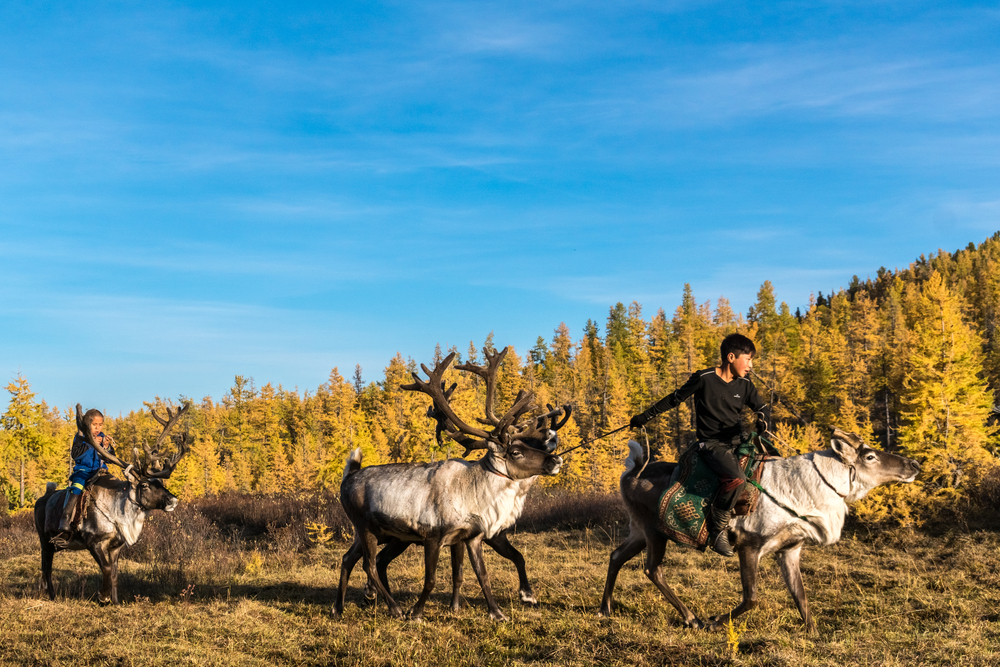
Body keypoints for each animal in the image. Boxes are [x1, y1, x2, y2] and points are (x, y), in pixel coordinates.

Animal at [34, 403, 190, 604]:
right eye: (145, 485)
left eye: (160, 483)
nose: (173, 500)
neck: (120, 513)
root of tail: (43, 497)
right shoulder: (93, 541)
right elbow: (106, 569)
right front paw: (103, 597)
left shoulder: (117, 545)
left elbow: (115, 572)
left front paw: (115, 601)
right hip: (44, 539)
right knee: (46, 567)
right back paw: (51, 596)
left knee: (45, 568)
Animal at [335, 347, 569, 621]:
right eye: (516, 452)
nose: (556, 459)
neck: (475, 493)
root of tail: (348, 477)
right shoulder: (433, 536)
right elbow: (431, 580)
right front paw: (416, 612)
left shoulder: (471, 537)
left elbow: (481, 575)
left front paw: (496, 613)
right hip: (366, 528)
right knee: (369, 565)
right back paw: (395, 608)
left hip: (380, 534)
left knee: (349, 559)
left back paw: (339, 607)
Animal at [598, 428, 920, 631]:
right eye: (870, 456)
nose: (914, 464)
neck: (808, 494)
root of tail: (630, 473)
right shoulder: (748, 544)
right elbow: (751, 597)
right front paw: (714, 621)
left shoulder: (790, 549)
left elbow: (800, 595)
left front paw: (813, 632)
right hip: (655, 533)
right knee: (652, 569)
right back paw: (691, 617)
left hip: (640, 532)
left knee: (616, 556)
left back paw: (606, 609)